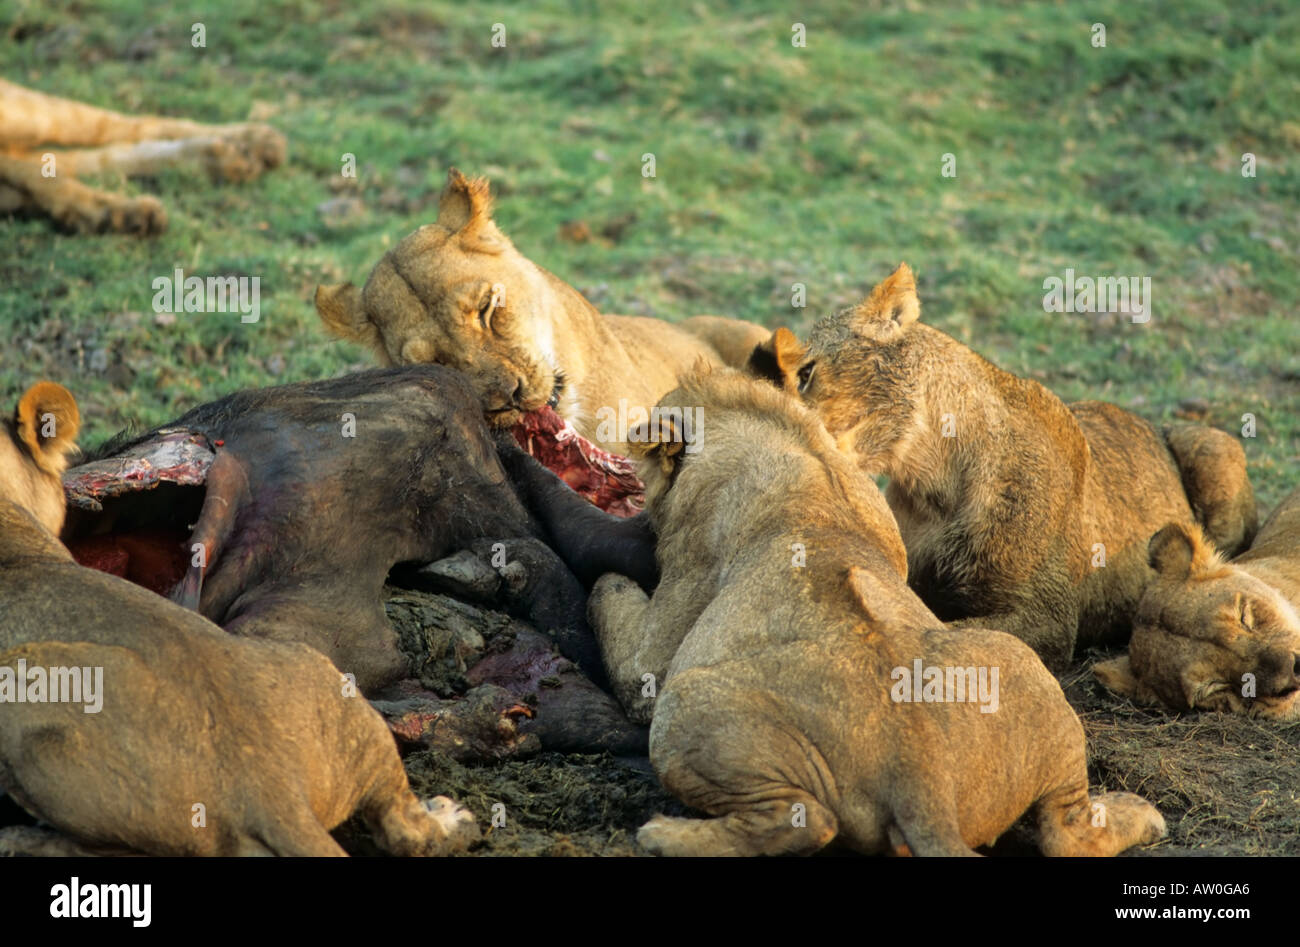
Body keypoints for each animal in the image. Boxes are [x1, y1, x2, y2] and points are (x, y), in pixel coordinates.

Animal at [585, 369, 1164, 858]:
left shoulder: (657, 652)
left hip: (687, 701)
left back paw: (661, 835)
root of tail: (918, 771)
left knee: (804, 821)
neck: (777, 436)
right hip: (1022, 664)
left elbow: (608, 598)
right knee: (1068, 833)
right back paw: (1143, 815)